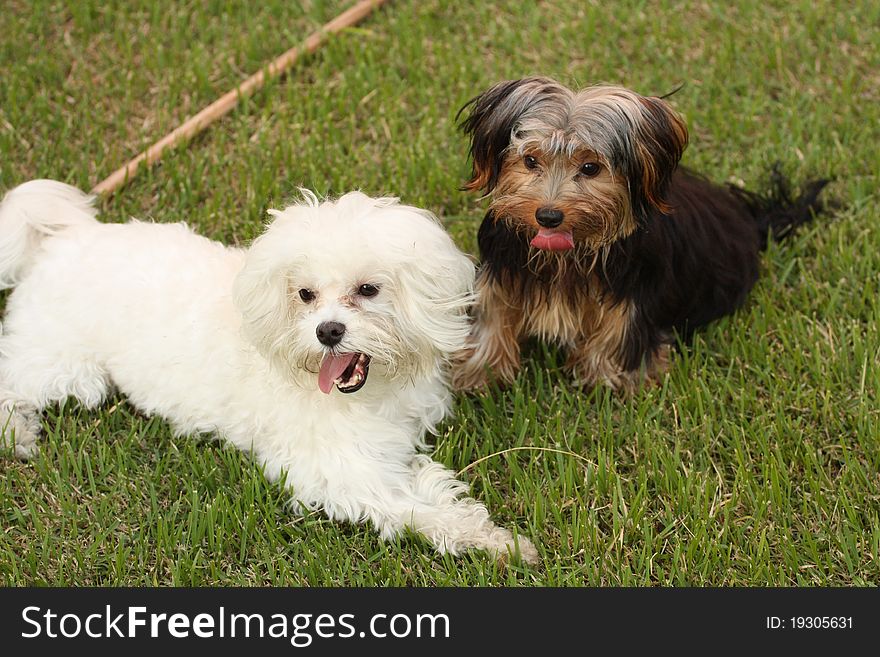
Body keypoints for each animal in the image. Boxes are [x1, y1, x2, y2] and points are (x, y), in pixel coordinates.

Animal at [0, 179, 536, 564]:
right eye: (304, 294)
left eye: (368, 289)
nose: (328, 331)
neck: (371, 393)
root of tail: (62, 238)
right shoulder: (337, 472)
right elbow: (411, 511)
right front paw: (492, 545)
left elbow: (429, 485)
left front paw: (491, 537)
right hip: (66, 363)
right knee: (14, 380)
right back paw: (17, 433)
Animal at [450, 79, 828, 392]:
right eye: (530, 161)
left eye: (591, 168)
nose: (548, 216)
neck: (568, 255)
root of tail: (749, 219)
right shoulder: (501, 271)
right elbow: (492, 318)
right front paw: (479, 374)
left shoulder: (634, 291)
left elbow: (620, 333)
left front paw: (610, 380)